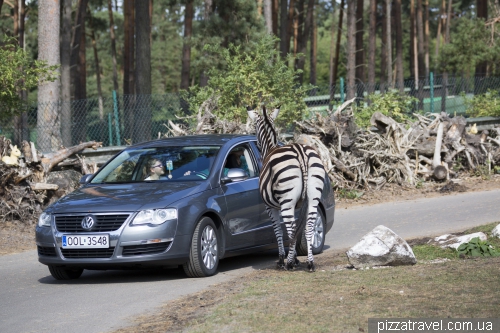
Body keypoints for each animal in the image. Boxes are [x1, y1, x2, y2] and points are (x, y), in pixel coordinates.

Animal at [247, 105, 328, 272]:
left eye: (254, 129)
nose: (257, 144)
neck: (270, 148)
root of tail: (300, 153)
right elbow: (297, 229)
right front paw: (295, 258)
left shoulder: (270, 207)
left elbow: (278, 230)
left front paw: (282, 259)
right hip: (313, 197)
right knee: (309, 227)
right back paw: (310, 263)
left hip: (286, 201)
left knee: (290, 230)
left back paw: (289, 263)